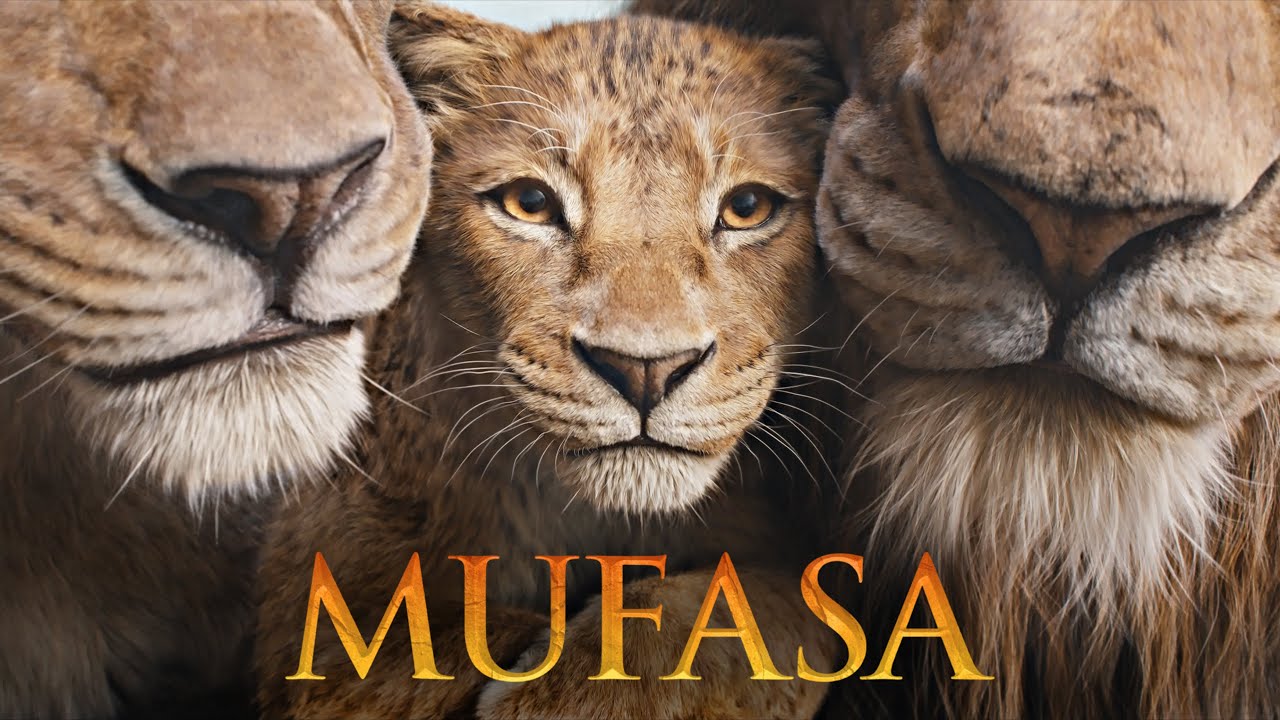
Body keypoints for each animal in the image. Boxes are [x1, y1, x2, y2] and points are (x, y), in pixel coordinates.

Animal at [254, 4, 846, 718]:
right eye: (530, 204)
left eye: (747, 208)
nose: (645, 370)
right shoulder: (312, 607)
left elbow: (761, 609)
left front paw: (588, 687)